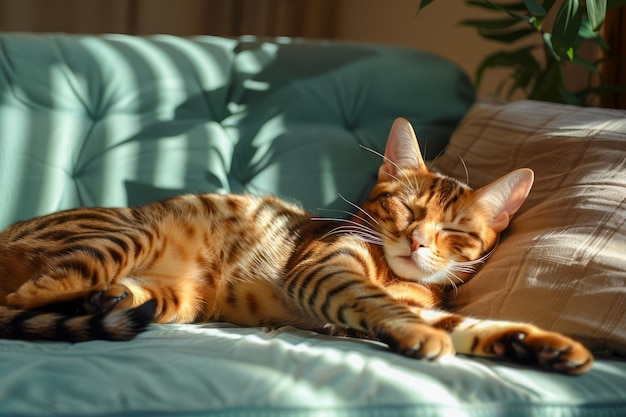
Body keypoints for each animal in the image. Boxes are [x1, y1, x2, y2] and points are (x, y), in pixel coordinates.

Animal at [0, 118, 588, 374]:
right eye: (406, 208)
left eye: (457, 231)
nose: (417, 240)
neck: (393, 274)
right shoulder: (324, 270)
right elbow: (381, 305)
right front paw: (417, 335)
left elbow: (467, 324)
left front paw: (541, 346)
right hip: (129, 235)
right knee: (19, 303)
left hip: (175, 298)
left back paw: (105, 302)